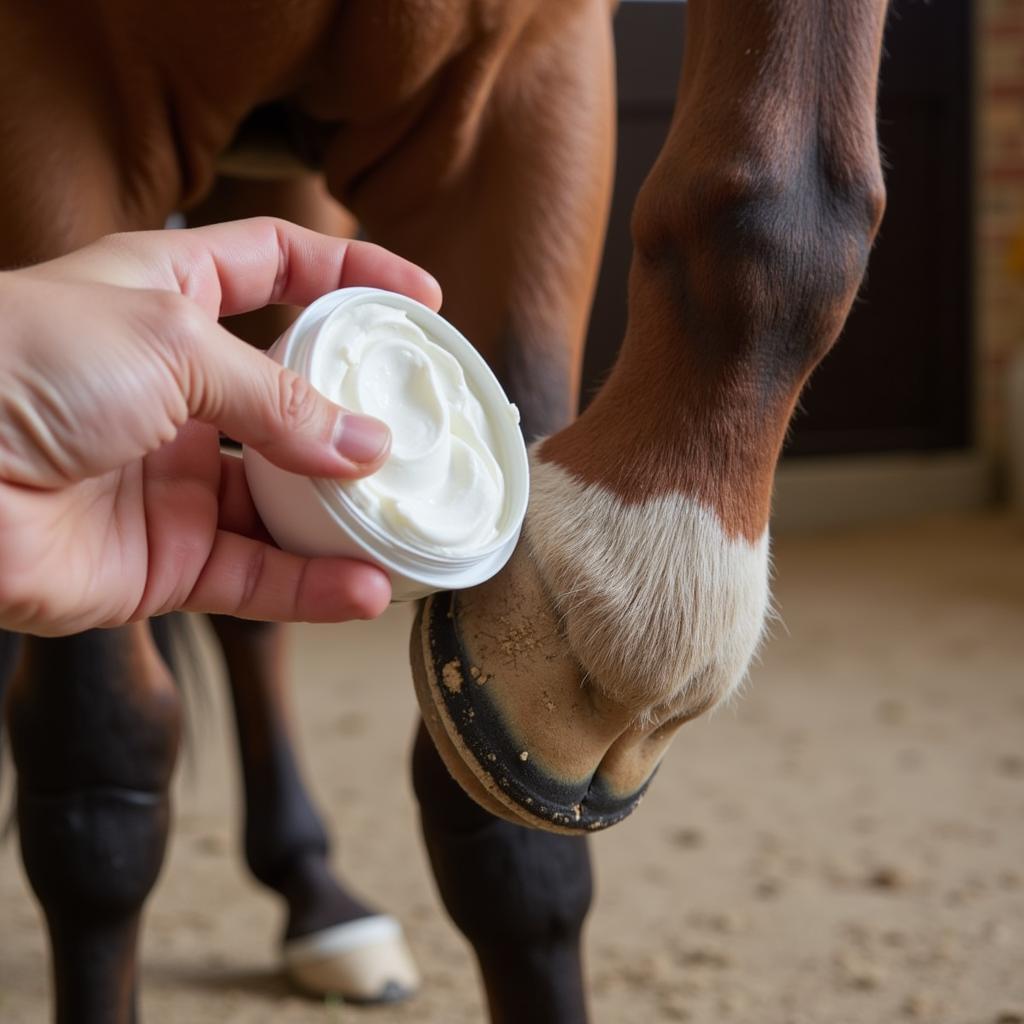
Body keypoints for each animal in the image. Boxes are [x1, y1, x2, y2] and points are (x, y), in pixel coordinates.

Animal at [0, 4, 884, 1019]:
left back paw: (315, 893)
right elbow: (99, 759)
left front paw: (643, 609)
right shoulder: (49, 96)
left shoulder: (534, 81)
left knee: (245, 616)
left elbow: (790, 213)